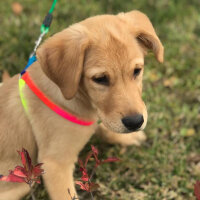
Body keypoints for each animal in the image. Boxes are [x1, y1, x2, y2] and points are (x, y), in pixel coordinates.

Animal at [0, 10, 162, 199]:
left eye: (137, 71)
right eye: (100, 79)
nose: (135, 122)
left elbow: (103, 126)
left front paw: (126, 137)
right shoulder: (55, 164)